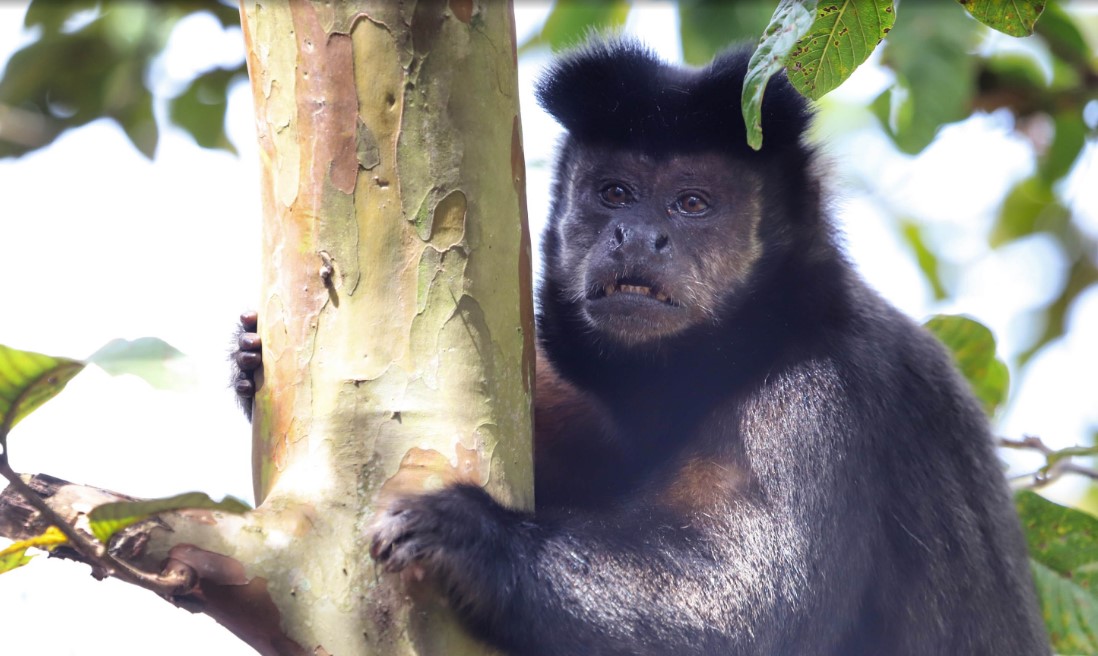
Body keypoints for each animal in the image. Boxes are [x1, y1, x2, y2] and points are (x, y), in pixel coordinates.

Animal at [233, 40, 1045, 654]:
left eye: (691, 204)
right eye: (615, 193)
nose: (636, 235)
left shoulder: (820, 395)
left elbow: (748, 614)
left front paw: (472, 538)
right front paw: (247, 366)